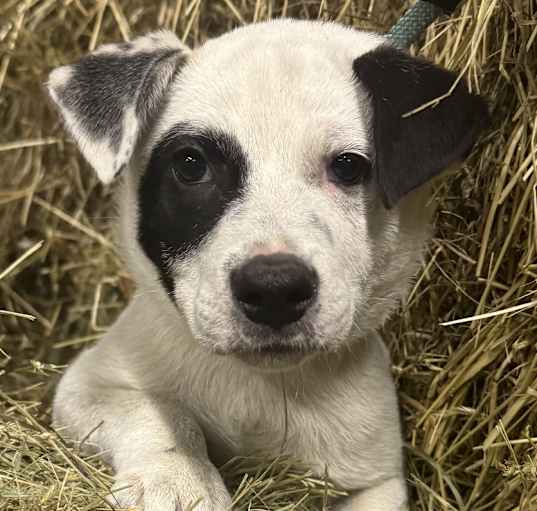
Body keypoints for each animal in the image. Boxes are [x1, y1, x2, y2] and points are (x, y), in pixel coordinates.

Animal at [48, 19, 488, 511]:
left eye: (349, 168)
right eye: (190, 165)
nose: (274, 289)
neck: (258, 383)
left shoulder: (377, 478)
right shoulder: (87, 382)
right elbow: (154, 409)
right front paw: (179, 478)